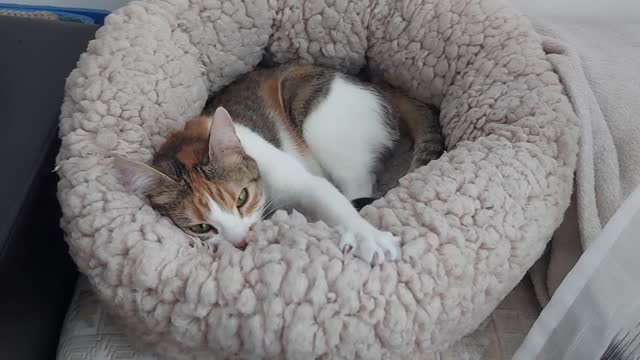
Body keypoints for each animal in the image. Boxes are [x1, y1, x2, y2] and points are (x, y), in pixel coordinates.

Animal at [115, 64, 442, 264]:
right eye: (201, 227)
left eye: (241, 198)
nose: (241, 242)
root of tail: (377, 85)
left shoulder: (303, 181)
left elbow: (333, 202)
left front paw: (367, 235)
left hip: (318, 125)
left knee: (358, 183)